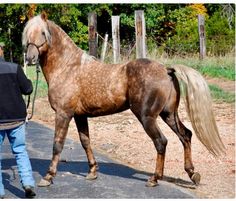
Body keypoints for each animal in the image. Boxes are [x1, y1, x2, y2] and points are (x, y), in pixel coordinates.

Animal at [22, 12, 225, 188]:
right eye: (27, 34)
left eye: (42, 32)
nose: (30, 58)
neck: (68, 67)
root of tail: (166, 70)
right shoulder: (80, 116)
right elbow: (85, 141)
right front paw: (92, 172)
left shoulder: (63, 114)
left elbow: (57, 145)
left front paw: (48, 177)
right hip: (168, 114)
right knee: (186, 136)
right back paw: (192, 174)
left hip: (147, 117)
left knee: (161, 142)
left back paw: (154, 179)